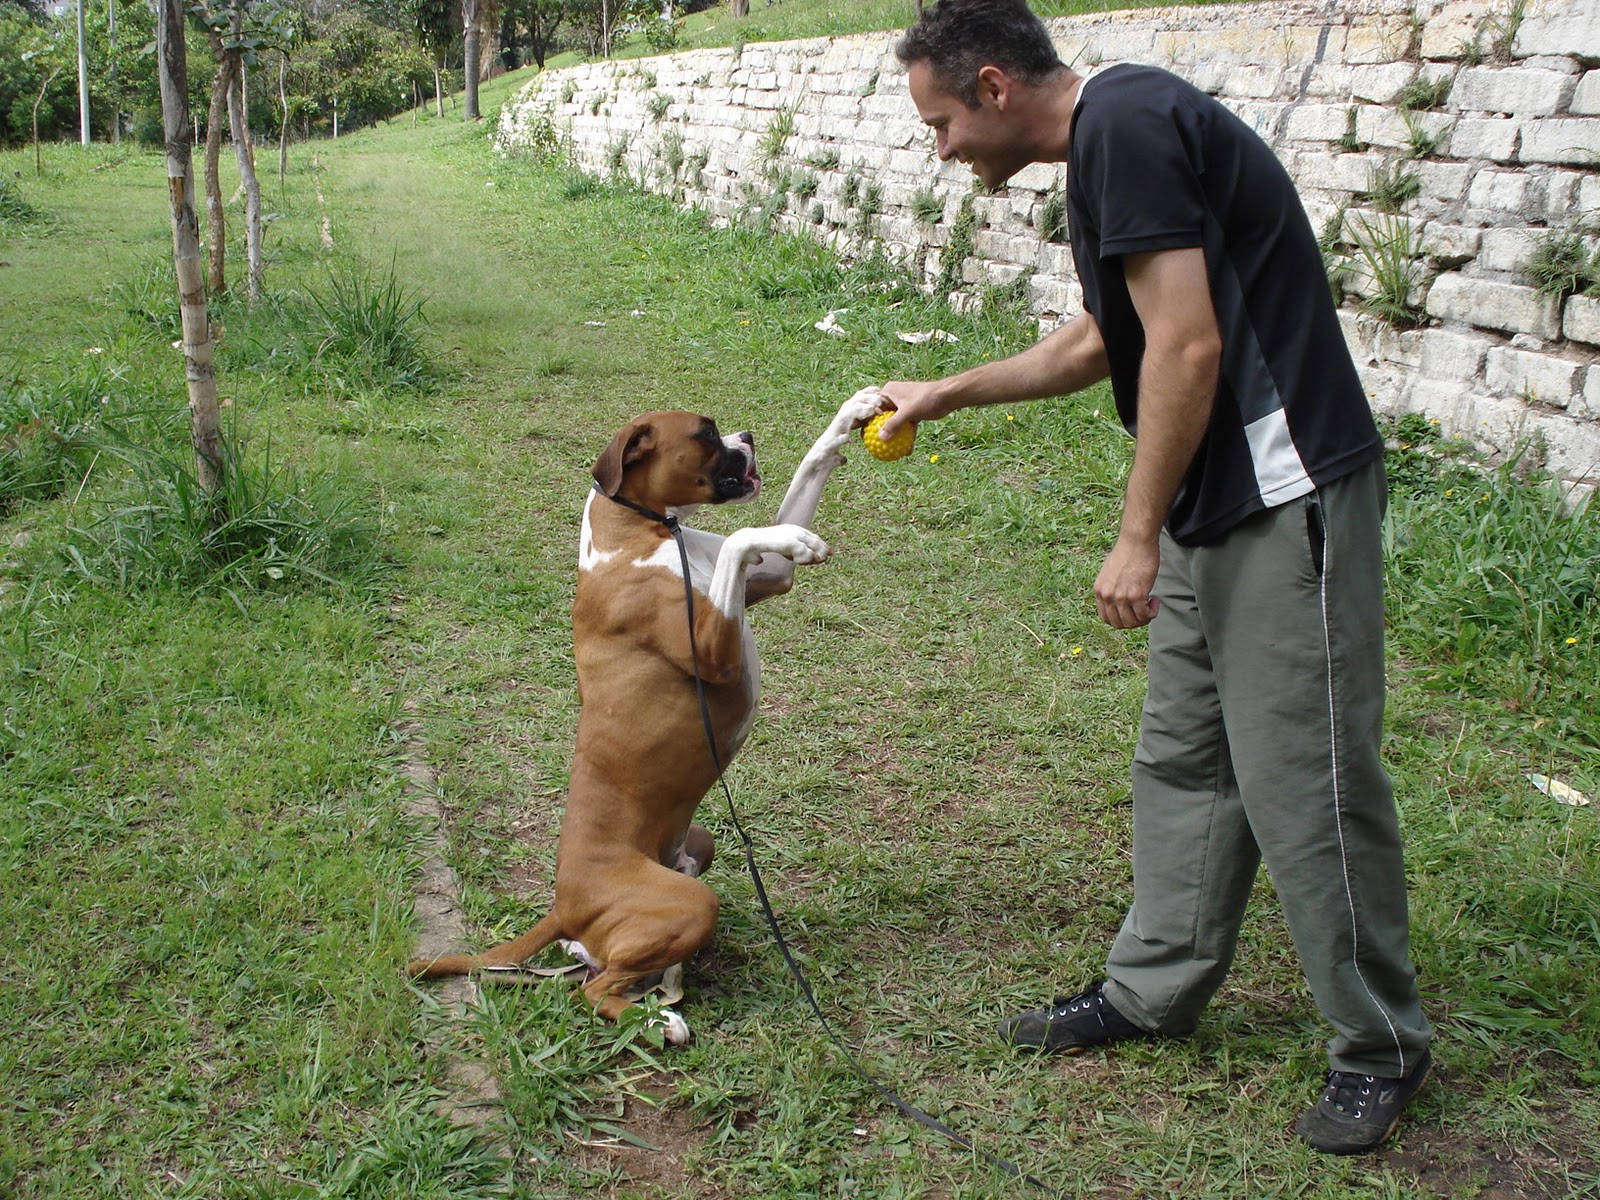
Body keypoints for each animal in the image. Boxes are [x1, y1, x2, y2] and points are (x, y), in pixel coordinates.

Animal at [409, 387, 889, 1043]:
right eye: (707, 433)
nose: (747, 437)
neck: (647, 530)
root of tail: (564, 905)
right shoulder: (714, 654)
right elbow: (742, 535)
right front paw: (794, 534)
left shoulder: (767, 580)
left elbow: (802, 477)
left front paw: (847, 419)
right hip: (691, 904)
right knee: (595, 992)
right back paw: (661, 1022)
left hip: (697, 847)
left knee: (598, 964)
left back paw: (652, 982)